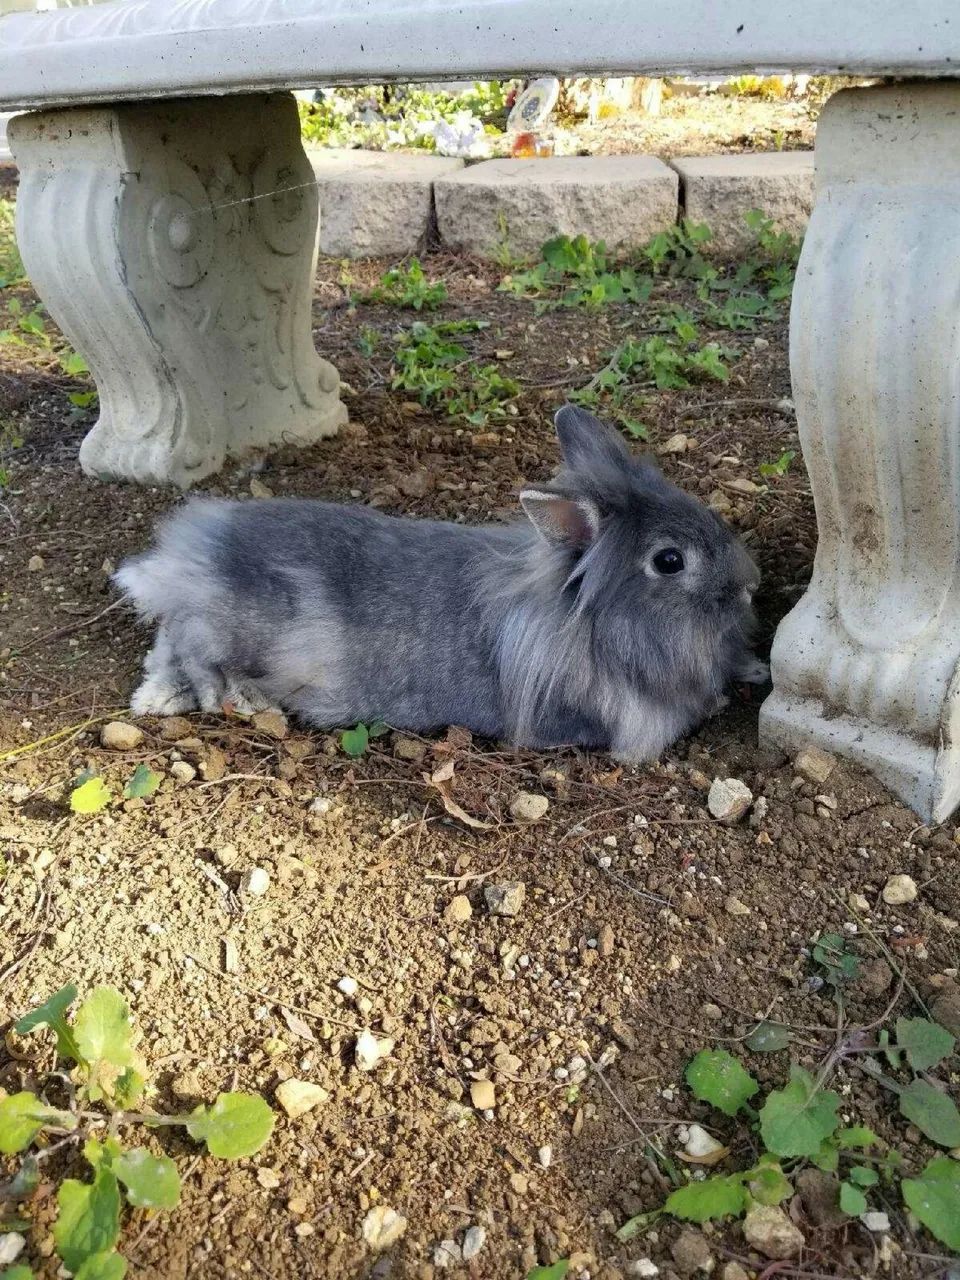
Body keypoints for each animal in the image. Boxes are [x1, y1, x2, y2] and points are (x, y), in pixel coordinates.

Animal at [115, 405, 767, 762]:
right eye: (669, 561)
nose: (750, 584)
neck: (586, 622)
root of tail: (194, 552)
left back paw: (158, 698)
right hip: (233, 627)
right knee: (194, 650)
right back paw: (233, 701)